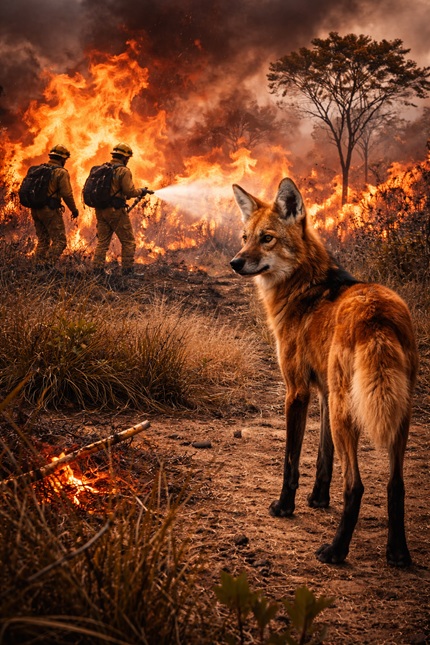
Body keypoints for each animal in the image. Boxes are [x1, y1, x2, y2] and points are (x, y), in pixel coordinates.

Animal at [230, 177, 418, 566]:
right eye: (245, 237)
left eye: (267, 238)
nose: (235, 262)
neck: (305, 288)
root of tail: (377, 313)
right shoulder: (326, 395)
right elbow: (323, 458)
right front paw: (318, 500)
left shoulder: (296, 390)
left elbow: (291, 460)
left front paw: (284, 507)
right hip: (393, 415)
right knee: (395, 485)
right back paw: (397, 553)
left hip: (349, 416)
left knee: (356, 486)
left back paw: (336, 550)